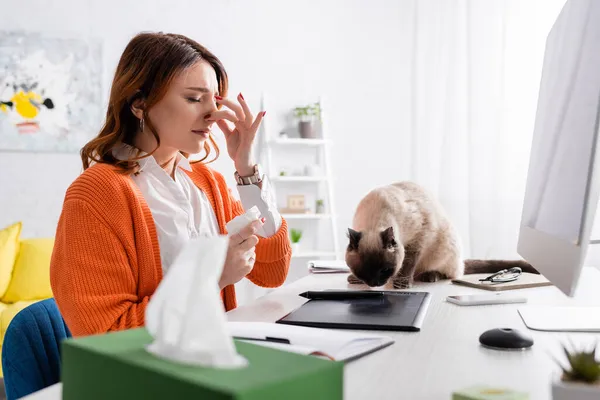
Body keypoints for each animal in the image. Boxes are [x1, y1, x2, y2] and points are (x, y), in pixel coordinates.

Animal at [344, 181, 536, 288]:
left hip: (445, 250)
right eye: (363, 271)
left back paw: (429, 276)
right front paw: (355, 279)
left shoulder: (418, 238)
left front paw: (401, 283)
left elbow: (408, 263)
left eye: (385, 270)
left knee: (453, 273)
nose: (375, 284)